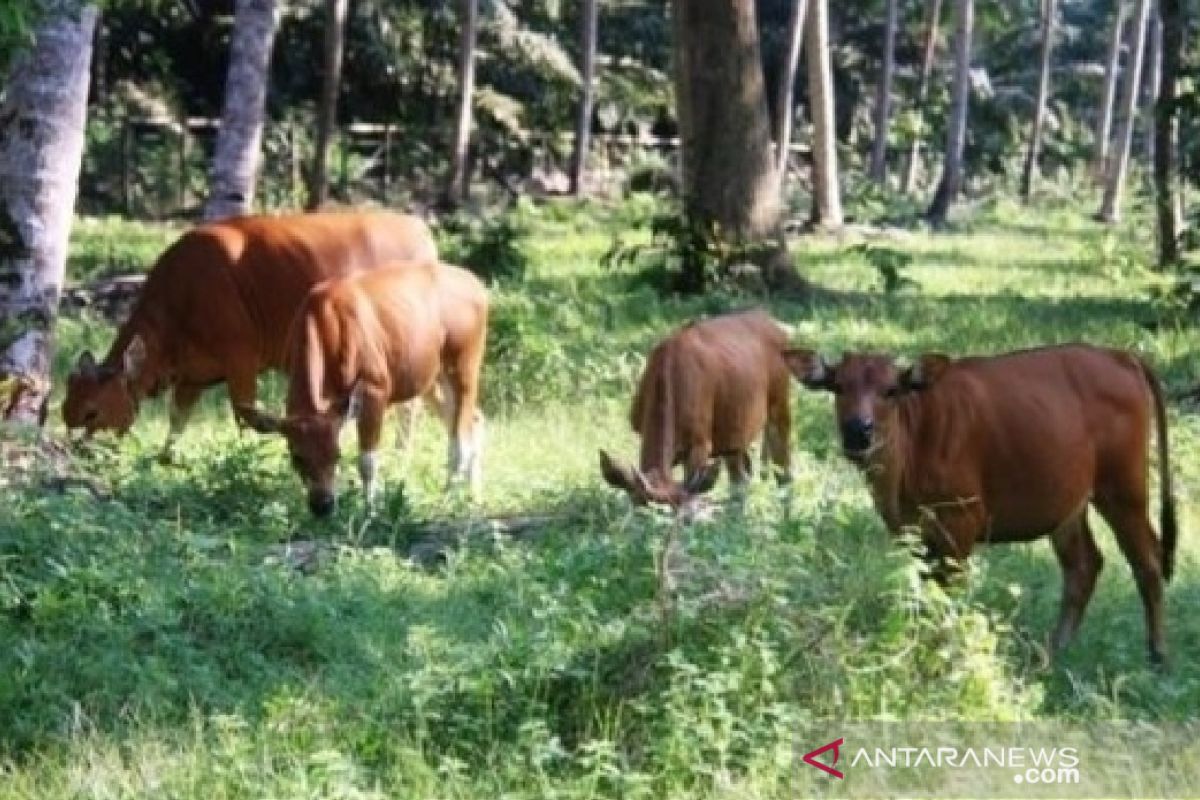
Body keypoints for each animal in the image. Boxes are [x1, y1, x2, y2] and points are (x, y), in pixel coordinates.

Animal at [60, 211, 436, 462]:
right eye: (65, 412)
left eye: (92, 413)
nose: (77, 451)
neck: (183, 296)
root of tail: (420, 232)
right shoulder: (192, 374)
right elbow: (178, 419)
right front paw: (164, 458)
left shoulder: (241, 359)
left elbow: (252, 417)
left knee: (409, 407)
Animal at [234, 260, 487, 515]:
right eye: (297, 457)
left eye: (336, 454)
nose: (323, 505)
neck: (327, 325)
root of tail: (477, 286)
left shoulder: (376, 389)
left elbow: (367, 461)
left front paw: (369, 511)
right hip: (431, 379)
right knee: (474, 419)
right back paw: (473, 495)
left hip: (465, 364)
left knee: (460, 439)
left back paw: (448, 500)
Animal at [600, 309, 796, 515]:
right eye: (635, 508)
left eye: (683, 517)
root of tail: (768, 318)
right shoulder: (641, 429)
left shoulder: (701, 443)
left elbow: (693, 491)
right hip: (734, 433)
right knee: (741, 479)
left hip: (780, 403)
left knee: (783, 471)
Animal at [792, 345, 1176, 662]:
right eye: (839, 386)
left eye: (891, 390)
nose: (858, 431)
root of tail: (1121, 355)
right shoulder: (912, 530)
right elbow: (926, 589)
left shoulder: (963, 519)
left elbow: (949, 592)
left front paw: (944, 652)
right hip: (1069, 503)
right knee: (1084, 565)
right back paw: (1051, 653)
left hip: (1122, 489)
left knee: (1148, 560)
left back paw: (1158, 655)